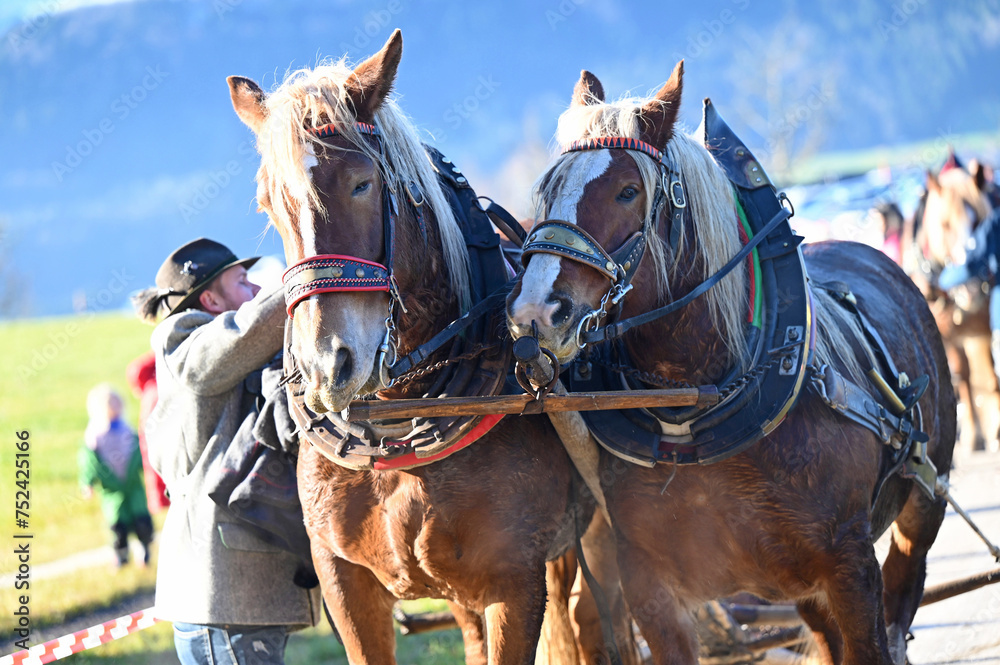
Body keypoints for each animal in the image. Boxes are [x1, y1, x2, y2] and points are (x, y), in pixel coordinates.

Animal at [227, 30, 637, 665]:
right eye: (268, 202)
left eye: (362, 183)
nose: (327, 366)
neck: (399, 421)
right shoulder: (345, 579)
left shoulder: (514, 582)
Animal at [506, 63, 956, 665]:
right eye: (549, 190)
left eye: (628, 191)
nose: (534, 312)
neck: (696, 404)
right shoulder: (651, 587)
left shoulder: (851, 569)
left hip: (923, 503)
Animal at [906, 161, 999, 453]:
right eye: (945, 224)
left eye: (978, 220)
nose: (970, 288)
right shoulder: (943, 336)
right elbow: (959, 375)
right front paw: (973, 435)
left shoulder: (980, 331)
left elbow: (989, 373)